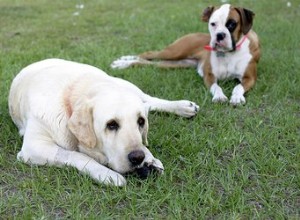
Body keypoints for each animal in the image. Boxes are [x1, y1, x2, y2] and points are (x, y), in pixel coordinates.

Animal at [8, 58, 199, 186]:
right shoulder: (34, 147)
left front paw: (149, 157)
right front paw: (106, 174)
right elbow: (75, 155)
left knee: (149, 100)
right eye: (111, 124)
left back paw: (184, 106)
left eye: (140, 122)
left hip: (126, 83)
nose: (137, 158)